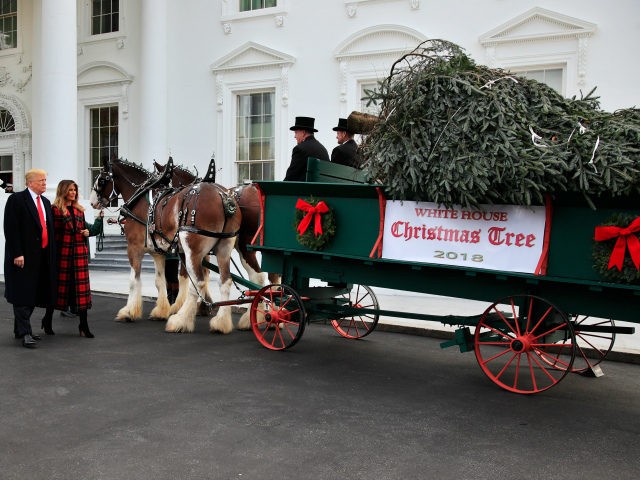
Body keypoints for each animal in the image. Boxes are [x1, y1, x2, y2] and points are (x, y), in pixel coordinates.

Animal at [92, 158, 245, 334]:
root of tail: (223, 197)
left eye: (101, 180)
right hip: (223, 248)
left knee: (198, 282)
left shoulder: (134, 248)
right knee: (225, 281)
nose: (92, 201)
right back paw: (221, 322)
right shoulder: (159, 252)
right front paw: (161, 310)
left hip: (193, 250)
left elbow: (134, 280)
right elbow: (161, 281)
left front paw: (129, 312)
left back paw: (181, 320)